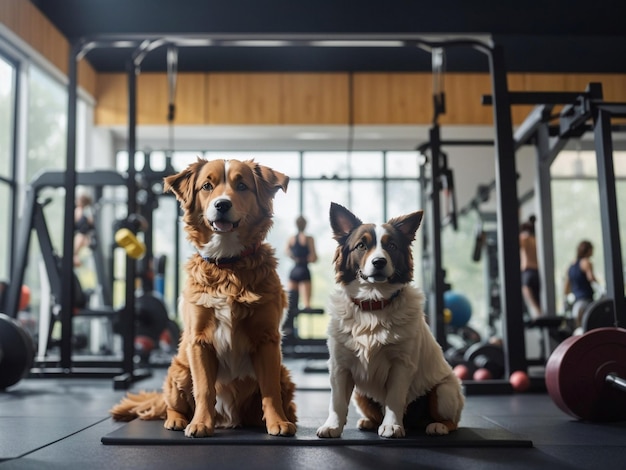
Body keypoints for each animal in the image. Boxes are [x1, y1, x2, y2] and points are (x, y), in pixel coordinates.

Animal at [109, 158, 294, 436]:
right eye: (207, 186)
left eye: (242, 185)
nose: (222, 204)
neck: (227, 264)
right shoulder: (199, 341)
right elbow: (204, 389)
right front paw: (200, 424)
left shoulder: (267, 339)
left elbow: (270, 389)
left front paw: (278, 422)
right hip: (179, 369)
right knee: (172, 404)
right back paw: (177, 420)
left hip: (285, 375)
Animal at [314, 204, 460, 438]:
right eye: (361, 245)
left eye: (391, 245)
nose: (379, 262)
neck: (373, 304)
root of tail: (414, 423)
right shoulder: (340, 366)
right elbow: (336, 402)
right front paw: (332, 426)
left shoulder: (401, 364)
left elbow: (394, 398)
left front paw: (392, 426)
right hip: (360, 395)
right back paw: (368, 422)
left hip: (444, 390)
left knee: (452, 419)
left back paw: (438, 426)